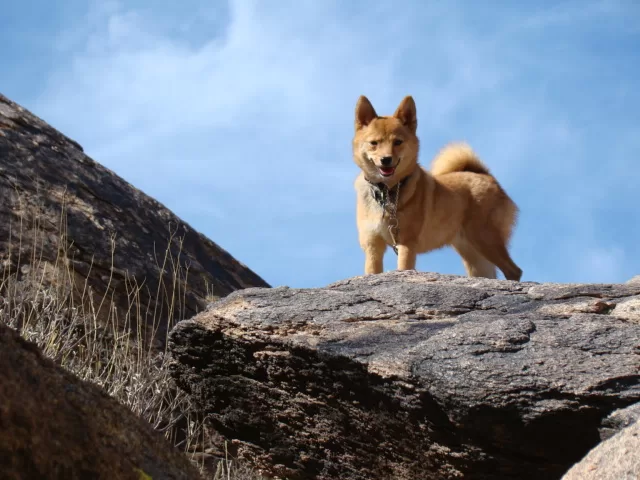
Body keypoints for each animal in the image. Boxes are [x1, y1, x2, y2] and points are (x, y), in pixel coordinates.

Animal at [352, 94, 524, 282]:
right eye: (374, 143)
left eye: (397, 142)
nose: (386, 159)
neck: (387, 192)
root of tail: (486, 176)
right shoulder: (373, 245)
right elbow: (371, 271)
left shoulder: (407, 243)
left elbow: (403, 268)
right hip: (473, 253)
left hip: (485, 238)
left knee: (514, 270)